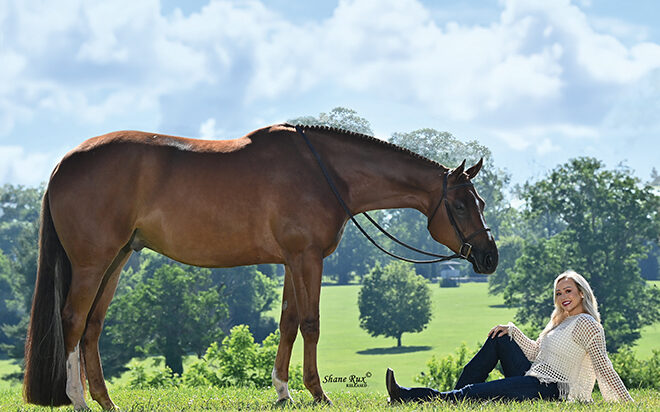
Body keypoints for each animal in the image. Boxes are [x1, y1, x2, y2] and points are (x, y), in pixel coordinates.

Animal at [21, 122, 496, 408]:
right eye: (459, 205)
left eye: (482, 202)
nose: (490, 256)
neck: (325, 174)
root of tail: (64, 162)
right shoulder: (306, 258)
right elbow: (310, 323)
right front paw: (317, 393)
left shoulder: (290, 261)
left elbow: (287, 323)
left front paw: (283, 392)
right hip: (92, 264)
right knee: (73, 320)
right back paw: (78, 400)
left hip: (117, 260)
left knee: (93, 326)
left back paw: (105, 400)